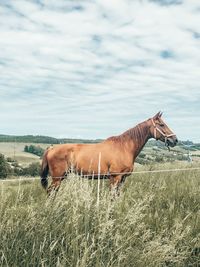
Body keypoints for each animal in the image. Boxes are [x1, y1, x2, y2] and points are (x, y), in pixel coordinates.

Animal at [40, 112, 178, 196]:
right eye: (162, 124)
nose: (175, 140)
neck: (124, 147)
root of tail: (51, 148)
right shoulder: (115, 177)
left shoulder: (122, 179)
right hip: (57, 178)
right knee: (50, 192)